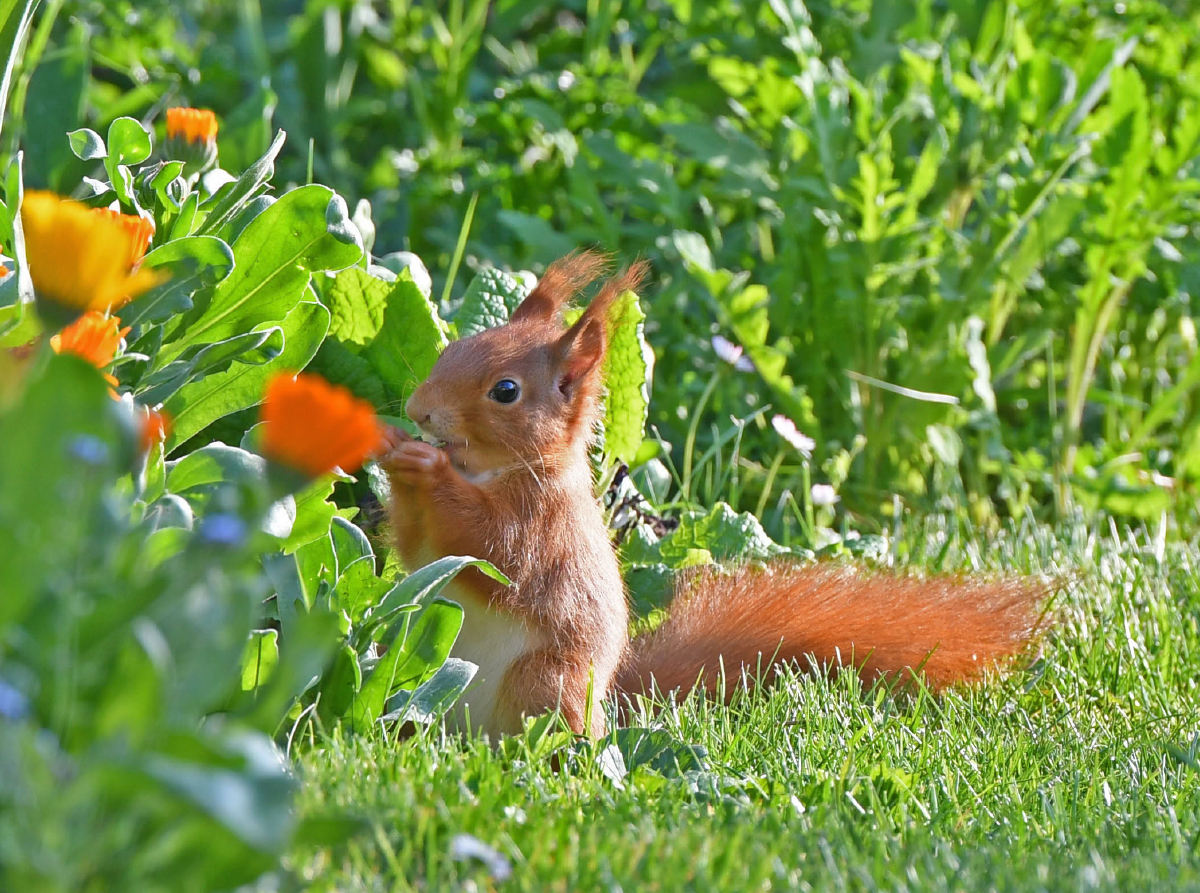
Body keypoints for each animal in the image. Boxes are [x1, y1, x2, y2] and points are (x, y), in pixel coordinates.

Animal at [379, 250, 1046, 739]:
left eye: (506, 391)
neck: (496, 474)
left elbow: (494, 551)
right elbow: (419, 552)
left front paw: (425, 469)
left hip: (545, 683)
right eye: (452, 348)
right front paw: (395, 456)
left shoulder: (544, 531)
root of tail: (606, 708)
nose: (418, 409)